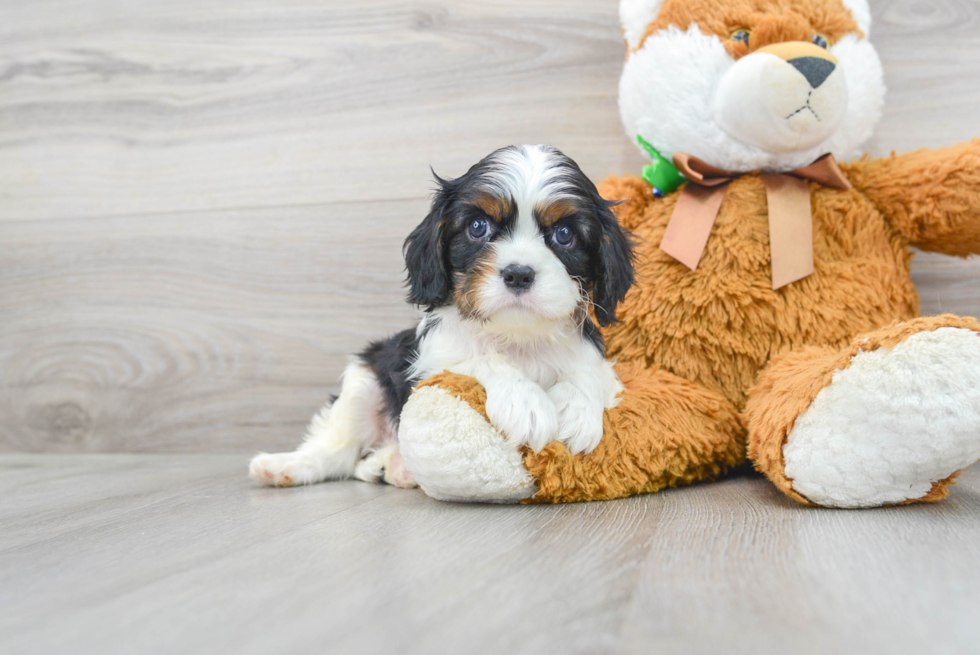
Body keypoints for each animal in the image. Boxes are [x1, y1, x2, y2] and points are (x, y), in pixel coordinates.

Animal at [251, 146, 636, 490]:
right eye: (478, 227)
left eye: (564, 234)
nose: (518, 274)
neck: (517, 337)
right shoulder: (432, 358)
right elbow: (479, 358)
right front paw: (525, 402)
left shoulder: (601, 365)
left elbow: (587, 372)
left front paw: (576, 410)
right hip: (365, 377)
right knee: (339, 450)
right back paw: (285, 466)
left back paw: (393, 466)